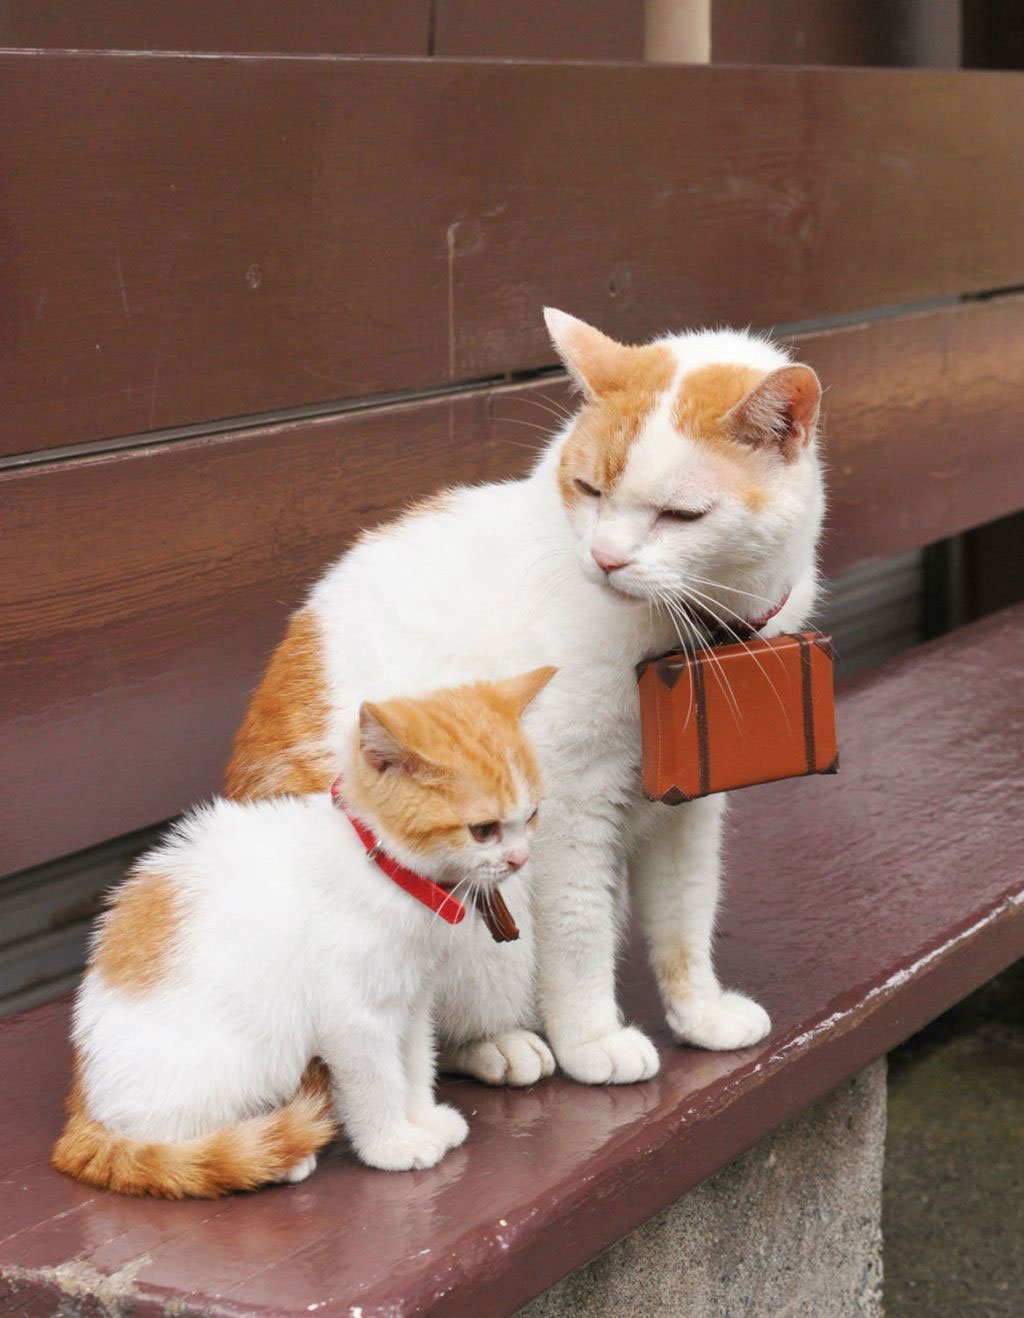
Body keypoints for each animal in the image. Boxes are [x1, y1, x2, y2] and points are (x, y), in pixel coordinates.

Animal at [52, 669, 556, 1196]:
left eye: (532, 815)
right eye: (483, 829)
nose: (519, 858)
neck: (389, 874)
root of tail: (82, 1103)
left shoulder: (412, 1001)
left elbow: (415, 1062)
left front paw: (422, 1116)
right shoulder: (354, 1017)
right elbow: (377, 1082)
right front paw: (392, 1144)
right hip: (234, 1061)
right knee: (170, 1141)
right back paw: (271, 1153)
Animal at [225, 313, 822, 1086]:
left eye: (681, 515)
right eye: (589, 489)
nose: (605, 559)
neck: (692, 631)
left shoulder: (688, 809)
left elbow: (684, 914)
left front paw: (700, 1012)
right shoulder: (568, 805)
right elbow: (577, 930)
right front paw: (593, 1038)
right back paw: (500, 1047)